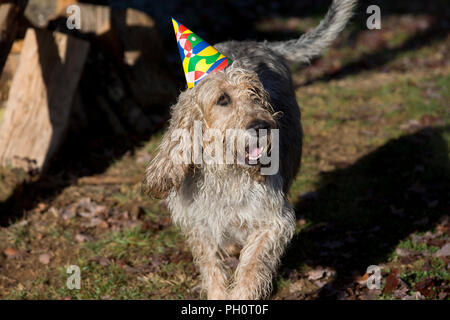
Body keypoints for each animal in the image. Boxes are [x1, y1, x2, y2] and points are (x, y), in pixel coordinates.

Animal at [143, 0, 356, 300]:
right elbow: (212, 268)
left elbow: (252, 266)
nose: (263, 126)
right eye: (223, 99)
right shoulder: (199, 225)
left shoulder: (272, 221)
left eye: (256, 93)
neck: (226, 175)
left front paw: (241, 295)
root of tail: (259, 42)